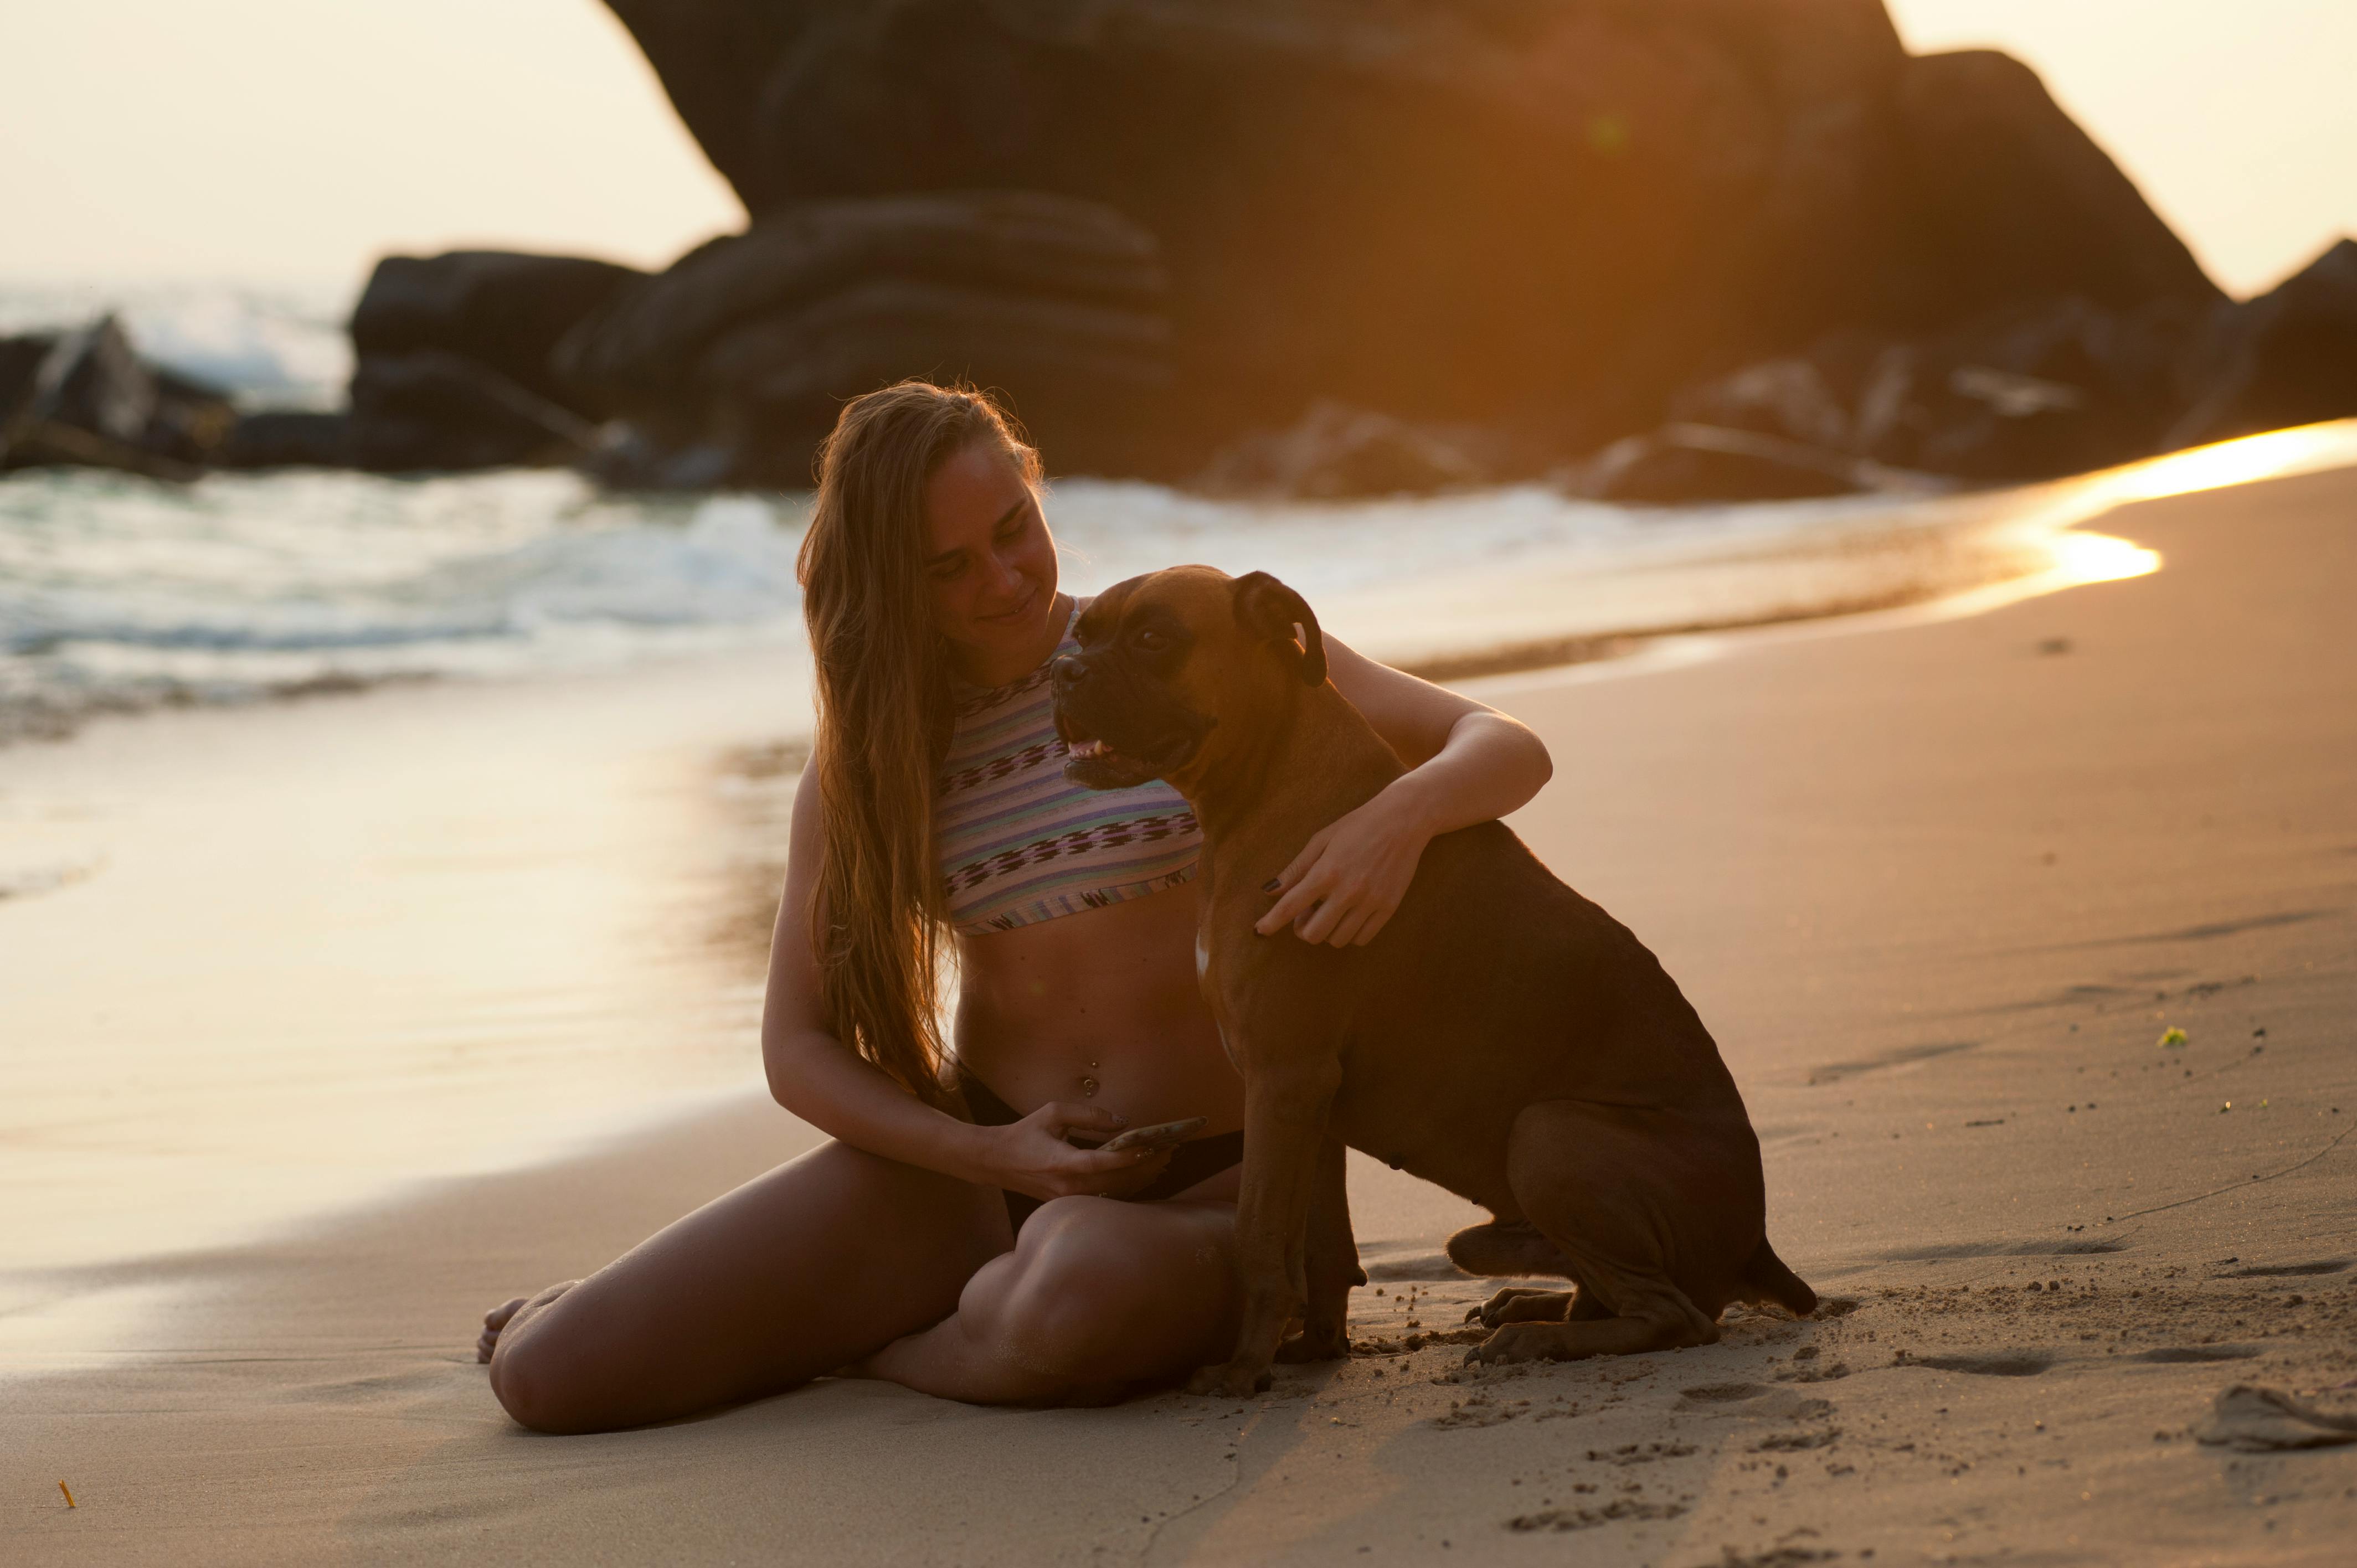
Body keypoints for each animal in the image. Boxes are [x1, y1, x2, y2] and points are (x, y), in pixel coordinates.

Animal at [1061, 563, 1810, 1396]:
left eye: (1153, 638)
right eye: (1083, 632)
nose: (1063, 671)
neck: (1270, 782)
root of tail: (1758, 1241)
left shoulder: (1283, 1078)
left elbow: (1259, 1233)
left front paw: (1243, 1369)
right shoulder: (1305, 1099)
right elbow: (1316, 1240)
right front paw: (1315, 1345)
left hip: (1550, 1133)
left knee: (1674, 1316)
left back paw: (1536, 1339)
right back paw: (1531, 1306)